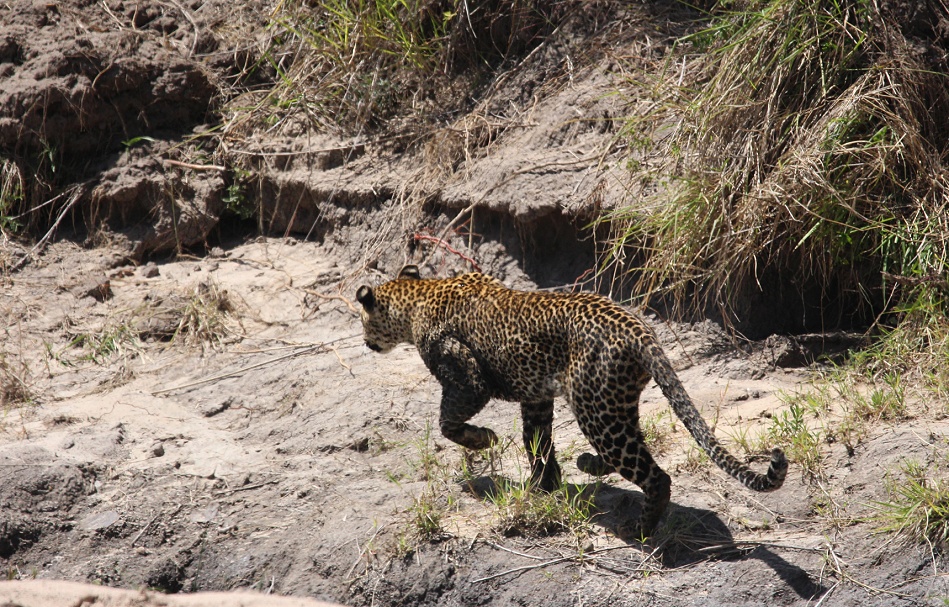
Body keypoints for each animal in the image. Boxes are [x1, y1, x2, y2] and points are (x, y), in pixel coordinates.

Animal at [355, 265, 788, 537]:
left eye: (360, 317)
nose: (364, 341)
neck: (419, 297)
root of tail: (640, 328)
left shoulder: (467, 378)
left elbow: (449, 421)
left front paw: (483, 439)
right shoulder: (535, 395)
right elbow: (537, 440)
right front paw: (544, 485)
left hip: (596, 408)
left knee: (654, 474)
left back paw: (640, 530)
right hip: (612, 401)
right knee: (630, 449)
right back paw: (590, 465)